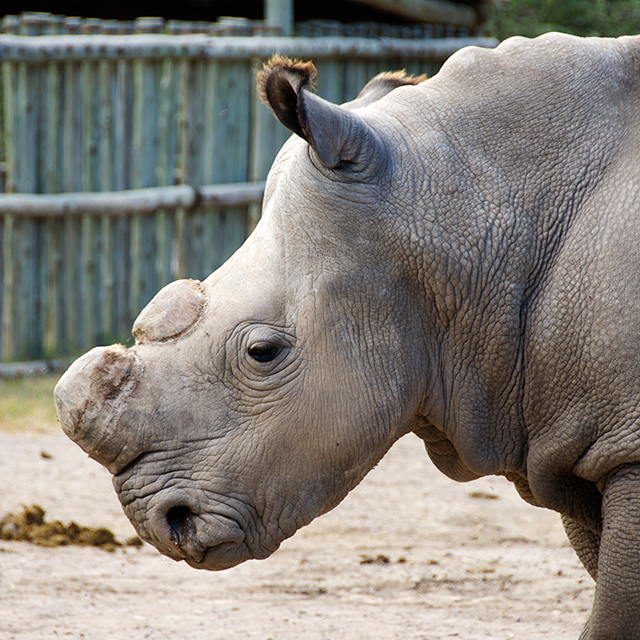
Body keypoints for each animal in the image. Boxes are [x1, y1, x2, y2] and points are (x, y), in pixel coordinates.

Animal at [55, 33, 640, 638]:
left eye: (263, 353)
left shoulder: (624, 449)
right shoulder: (578, 439)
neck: (470, 207)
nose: (163, 523)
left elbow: (612, 618)